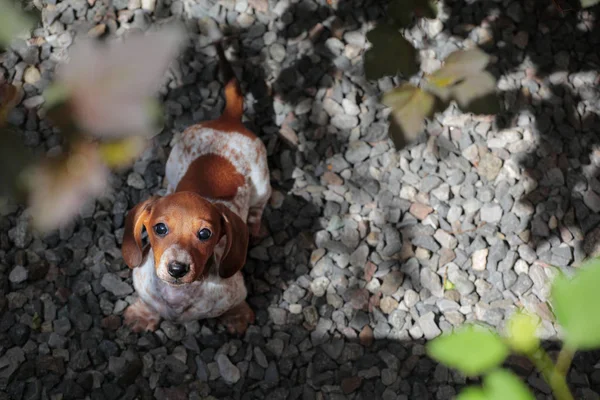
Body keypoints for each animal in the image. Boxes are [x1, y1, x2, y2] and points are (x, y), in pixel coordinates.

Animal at [120, 41, 270, 334]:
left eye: (205, 233)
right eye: (159, 228)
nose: (177, 268)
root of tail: (227, 121)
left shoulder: (235, 291)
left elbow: (237, 304)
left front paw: (237, 317)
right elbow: (147, 301)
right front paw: (142, 314)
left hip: (263, 182)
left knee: (259, 207)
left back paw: (255, 226)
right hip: (173, 161)